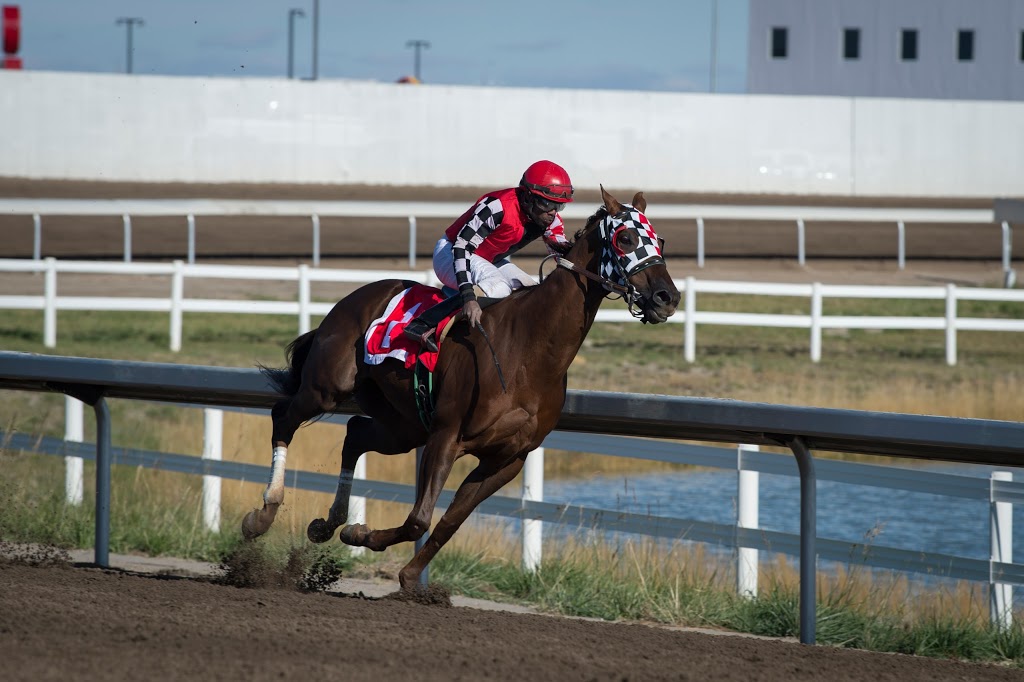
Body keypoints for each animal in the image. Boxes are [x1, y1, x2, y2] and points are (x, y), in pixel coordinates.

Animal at [241, 183, 679, 585]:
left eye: (658, 239)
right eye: (625, 239)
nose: (667, 298)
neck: (531, 349)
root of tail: (352, 298)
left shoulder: (506, 458)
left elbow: (448, 523)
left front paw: (399, 566)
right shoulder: (447, 434)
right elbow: (419, 519)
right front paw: (366, 538)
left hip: (403, 426)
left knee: (354, 434)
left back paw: (327, 523)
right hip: (328, 388)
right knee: (283, 417)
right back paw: (263, 515)